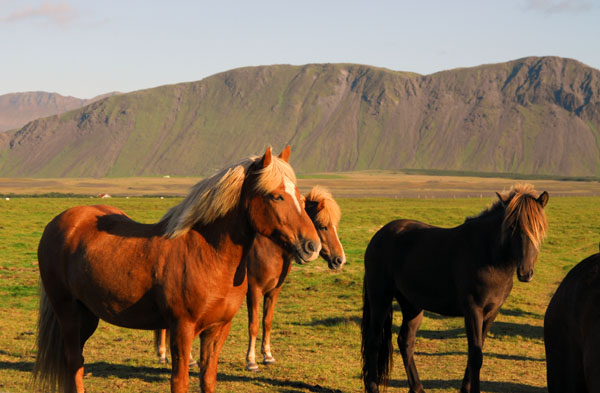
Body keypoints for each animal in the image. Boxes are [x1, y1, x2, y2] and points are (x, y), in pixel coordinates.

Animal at [31, 146, 324, 392]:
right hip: (68, 312)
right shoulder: (182, 329)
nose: (312, 246)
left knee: (77, 363)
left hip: (88, 315)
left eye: (301, 198)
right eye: (276, 196)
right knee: (73, 362)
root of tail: (61, 222)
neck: (209, 256)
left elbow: (208, 379)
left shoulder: (217, 329)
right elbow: (180, 381)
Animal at [151, 185, 346, 370]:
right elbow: (253, 325)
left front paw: (268, 356)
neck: (271, 250)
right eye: (323, 226)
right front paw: (251, 361)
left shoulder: (273, 292)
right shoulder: (254, 291)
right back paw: (168, 356)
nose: (339, 260)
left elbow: (267, 322)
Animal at [360, 184, 548, 392]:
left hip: (412, 305)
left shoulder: (491, 313)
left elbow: (476, 351)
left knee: (405, 341)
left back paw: (417, 387)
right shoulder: (473, 311)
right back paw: (373, 387)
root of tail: (378, 236)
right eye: (512, 227)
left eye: (539, 228)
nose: (525, 272)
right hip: (380, 300)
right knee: (374, 342)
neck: (488, 256)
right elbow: (475, 356)